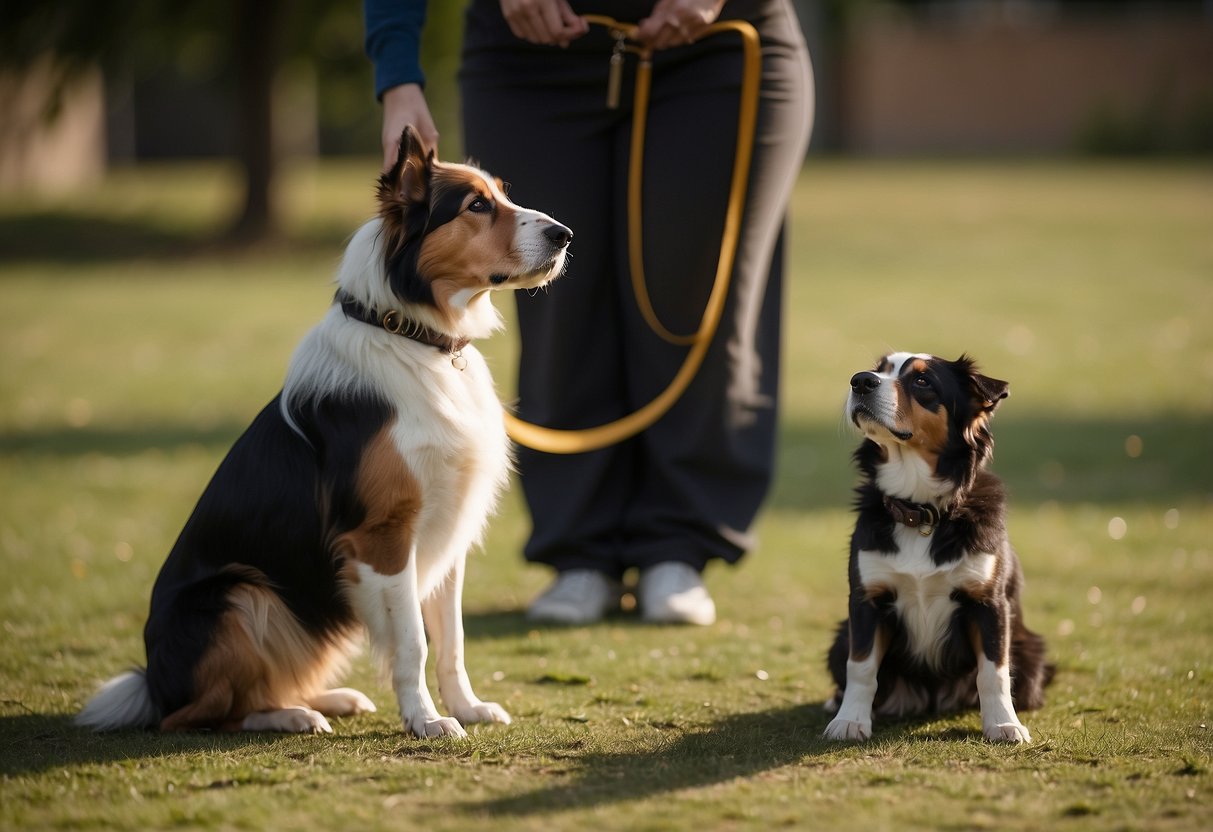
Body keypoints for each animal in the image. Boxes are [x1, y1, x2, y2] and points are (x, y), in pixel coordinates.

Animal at [79, 127, 572, 742]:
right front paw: (426, 721)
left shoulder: (448, 531)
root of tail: (154, 683)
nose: (565, 235)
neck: (413, 336)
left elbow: (452, 641)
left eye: (503, 195)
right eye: (476, 206)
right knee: (201, 715)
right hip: (241, 594)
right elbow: (412, 642)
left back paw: (329, 699)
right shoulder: (385, 534)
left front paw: (466, 707)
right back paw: (292, 715)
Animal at [824, 354, 1052, 747]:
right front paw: (850, 720)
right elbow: (862, 667)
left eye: (923, 381)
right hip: (840, 636)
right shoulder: (867, 600)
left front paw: (1003, 724)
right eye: (880, 369)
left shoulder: (988, 602)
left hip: (1030, 648)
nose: (860, 381)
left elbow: (994, 671)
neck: (921, 512)